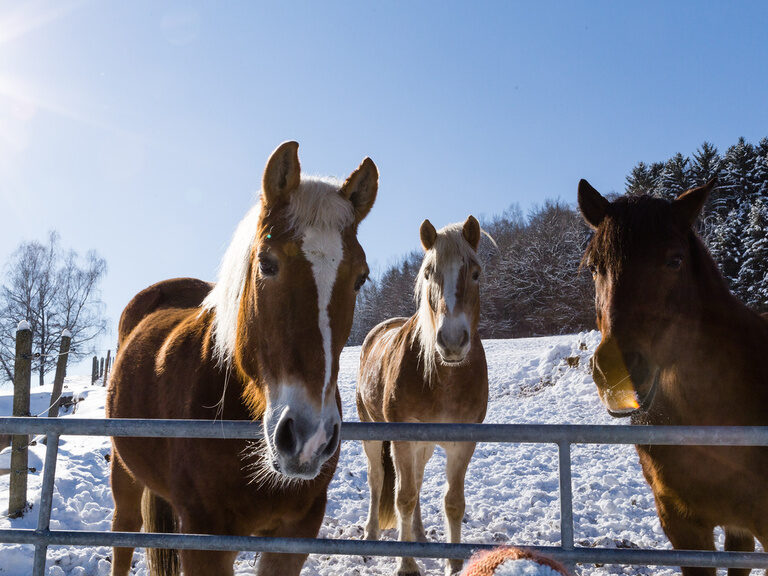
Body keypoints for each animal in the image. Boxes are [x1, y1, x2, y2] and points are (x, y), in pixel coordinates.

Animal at [106, 141, 378, 576]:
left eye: (361, 277)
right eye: (267, 262)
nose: (309, 438)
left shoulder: (294, 535)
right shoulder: (205, 538)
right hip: (124, 470)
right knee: (124, 534)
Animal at [356, 216, 489, 576]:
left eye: (475, 273)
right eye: (429, 273)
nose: (452, 341)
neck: (444, 380)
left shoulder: (462, 442)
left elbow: (452, 502)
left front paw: (454, 564)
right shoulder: (402, 438)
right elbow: (403, 498)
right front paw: (407, 564)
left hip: (424, 445)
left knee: (416, 479)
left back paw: (419, 535)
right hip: (374, 434)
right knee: (378, 480)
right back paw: (371, 536)